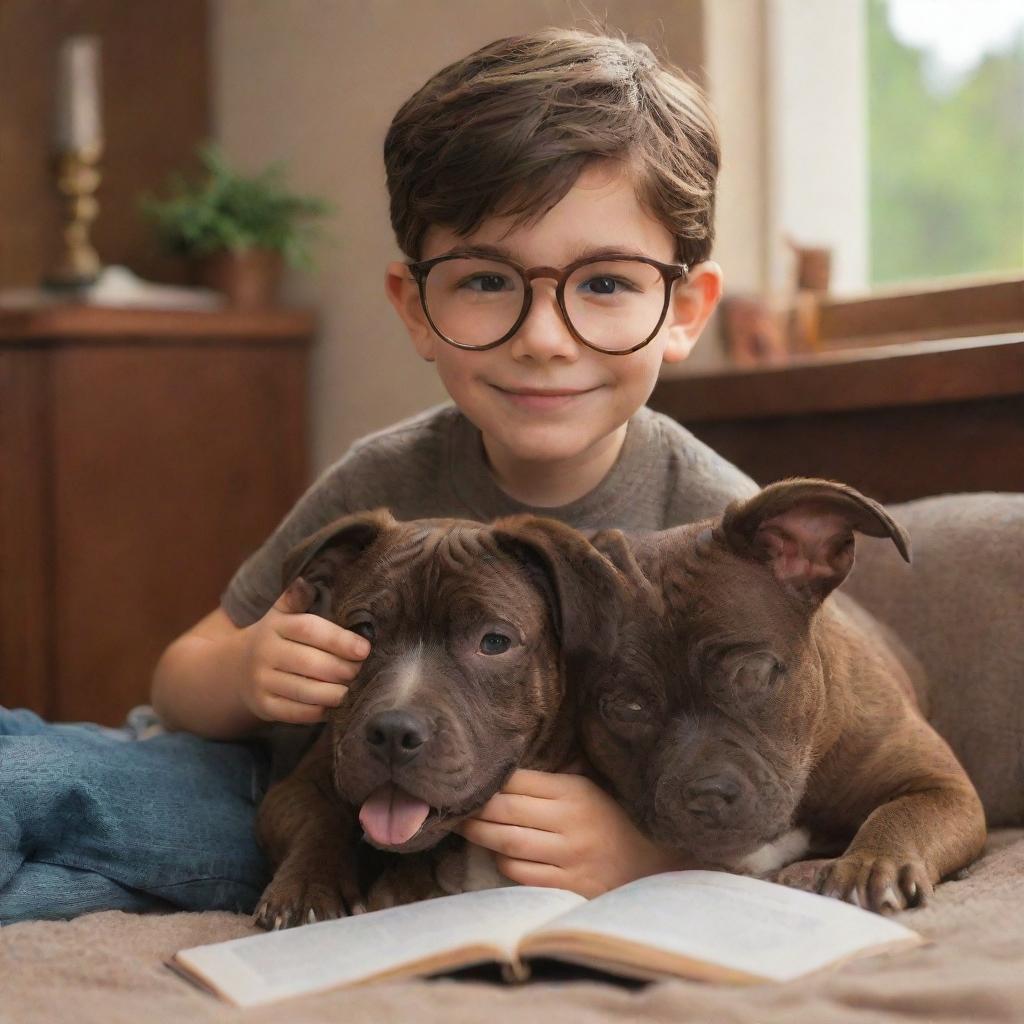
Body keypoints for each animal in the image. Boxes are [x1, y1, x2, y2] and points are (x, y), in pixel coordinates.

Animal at [252, 509, 614, 929]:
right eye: (363, 631)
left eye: (494, 642)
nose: (393, 731)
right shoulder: (295, 786)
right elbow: (317, 816)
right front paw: (306, 888)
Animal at [577, 479, 983, 913]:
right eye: (626, 707)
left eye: (753, 671)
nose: (707, 795)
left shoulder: (943, 785)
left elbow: (901, 813)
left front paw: (870, 863)